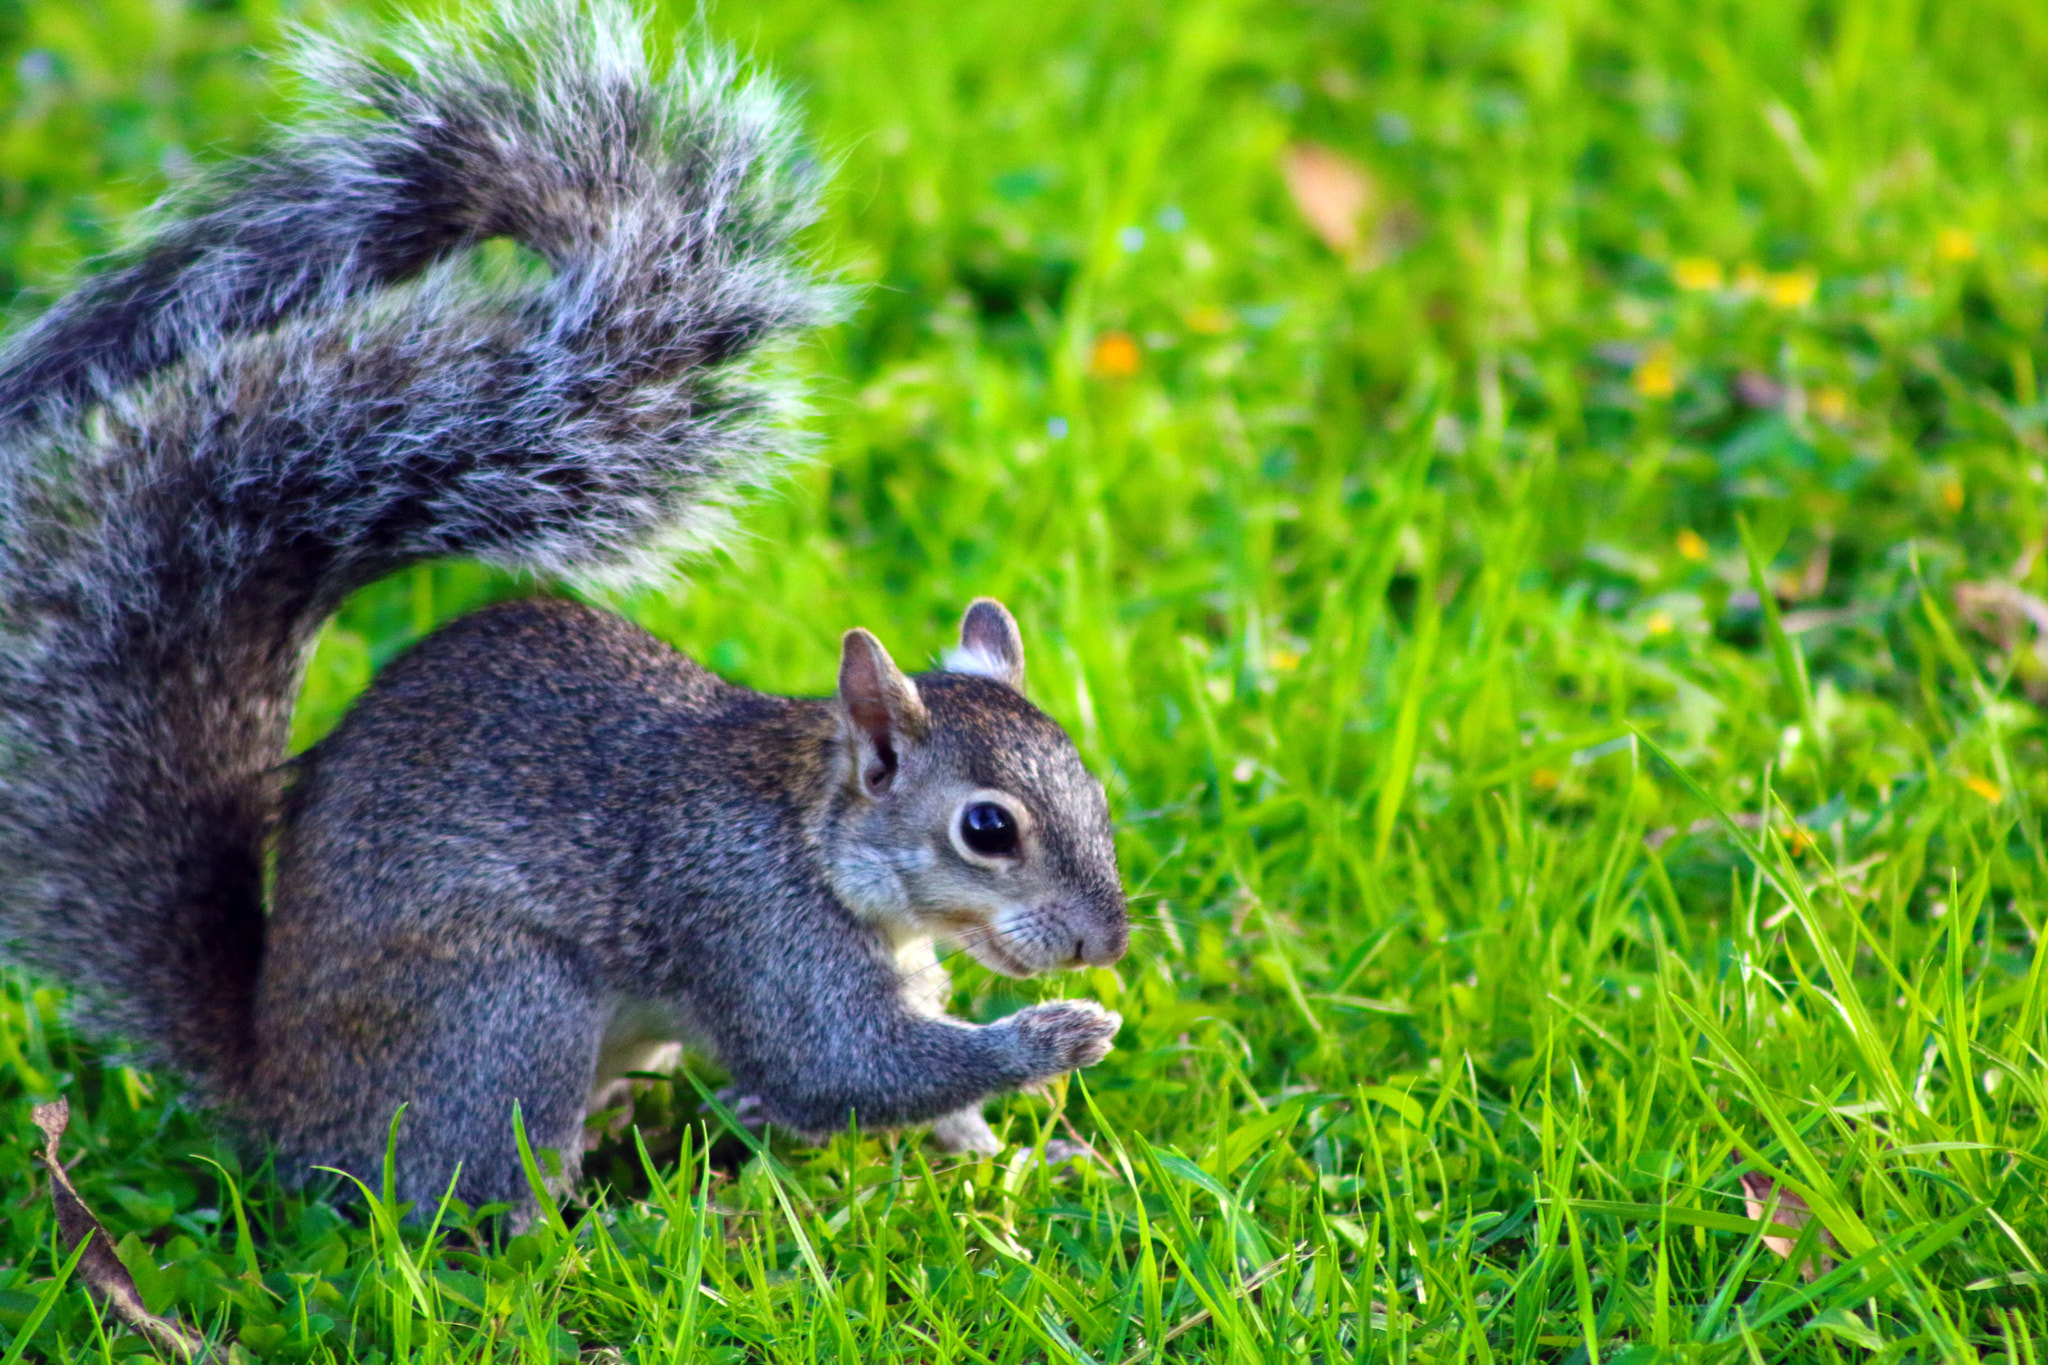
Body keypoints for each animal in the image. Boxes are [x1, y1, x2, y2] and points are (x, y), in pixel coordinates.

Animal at [0, 0, 1127, 1217]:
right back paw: (613, 1222)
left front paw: (1015, 1157)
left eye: (1093, 790)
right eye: (987, 829)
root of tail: (280, 1100)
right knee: (483, 1203)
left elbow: (915, 1096)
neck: (812, 832)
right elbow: (842, 1068)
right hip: (502, 1010)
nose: (1104, 944)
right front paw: (1059, 1037)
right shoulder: (755, 926)